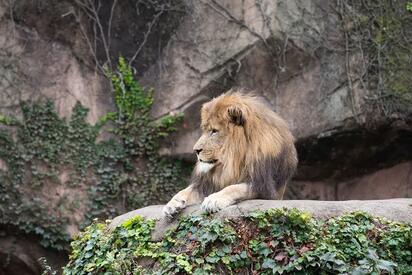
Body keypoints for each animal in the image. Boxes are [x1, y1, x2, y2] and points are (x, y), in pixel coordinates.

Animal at [163, 91, 298, 219]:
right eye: (205, 130)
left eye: (214, 131)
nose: (196, 150)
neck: (232, 161)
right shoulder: (206, 184)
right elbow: (186, 190)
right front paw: (172, 203)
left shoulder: (264, 188)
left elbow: (234, 188)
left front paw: (213, 199)